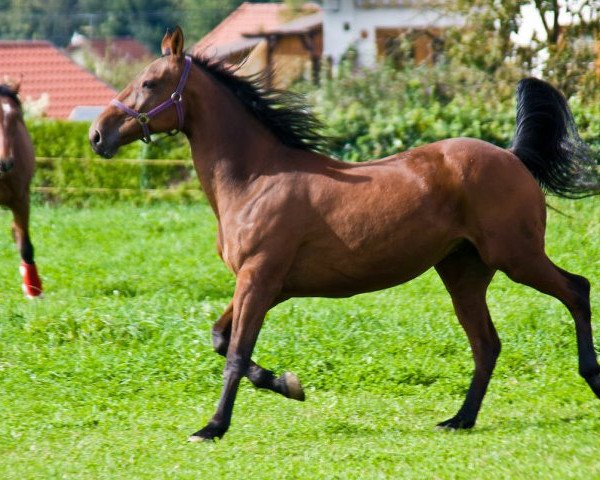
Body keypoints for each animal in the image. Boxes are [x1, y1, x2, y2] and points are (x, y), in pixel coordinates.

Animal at [90, 25, 600, 438]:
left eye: (149, 83)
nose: (98, 135)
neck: (254, 179)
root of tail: (513, 157)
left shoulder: (259, 279)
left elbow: (234, 353)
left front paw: (213, 427)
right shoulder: (259, 284)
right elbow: (220, 340)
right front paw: (289, 385)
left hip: (516, 256)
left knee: (576, 290)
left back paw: (590, 379)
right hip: (463, 273)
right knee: (488, 344)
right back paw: (459, 419)